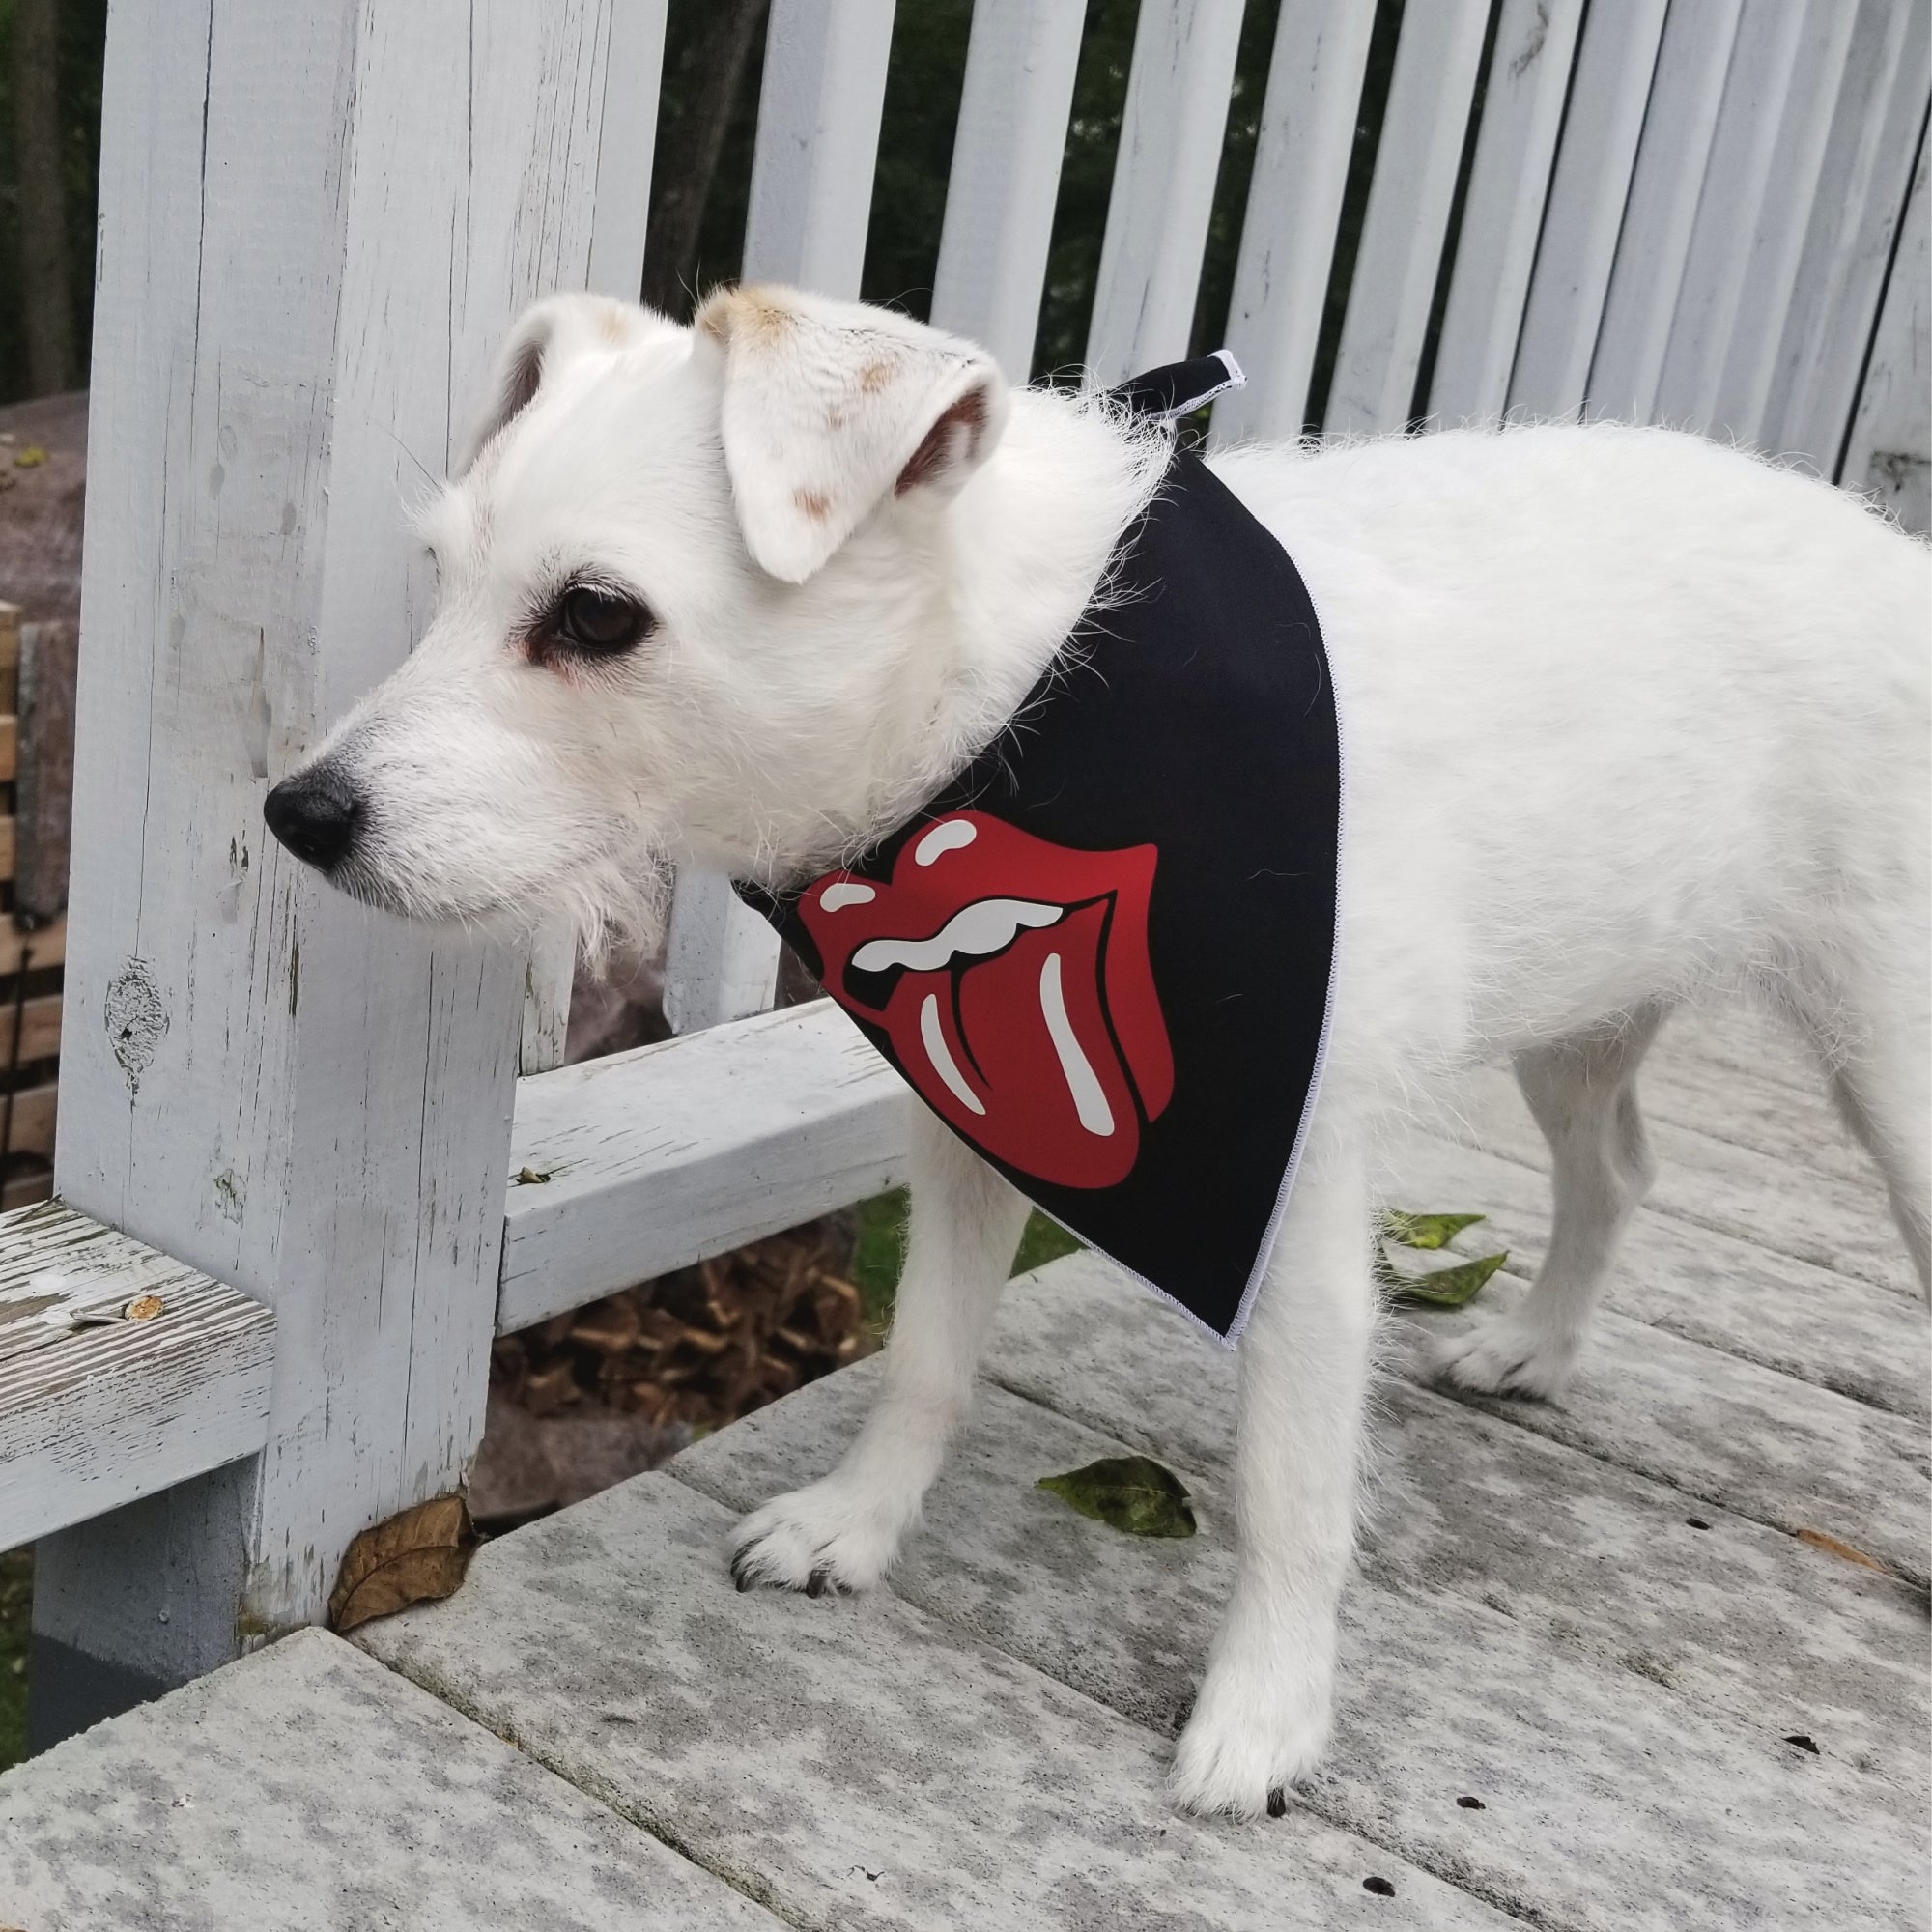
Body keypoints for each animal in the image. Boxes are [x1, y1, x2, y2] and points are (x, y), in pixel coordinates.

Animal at [265, 282, 1924, 1808]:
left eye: (600, 615)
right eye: (442, 576)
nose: (298, 816)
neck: (1009, 725)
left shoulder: (1291, 1184)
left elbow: (1292, 1485)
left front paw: (1266, 1716)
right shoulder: (967, 1126)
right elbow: (927, 1357)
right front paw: (856, 1527)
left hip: (1891, 1075)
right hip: (1590, 1010)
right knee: (1620, 1174)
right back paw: (1538, 1346)